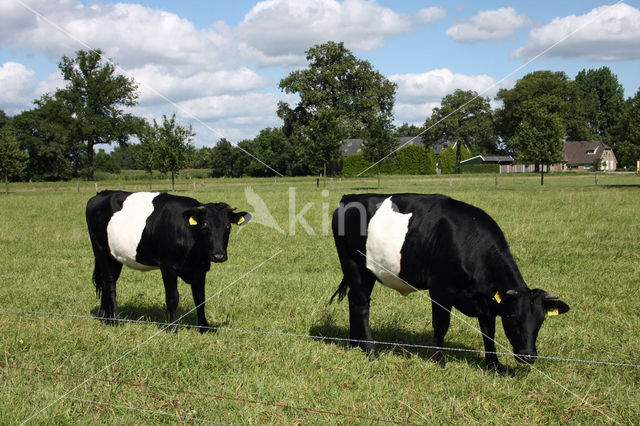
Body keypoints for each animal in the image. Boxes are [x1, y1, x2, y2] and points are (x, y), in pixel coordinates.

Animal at [86, 191, 251, 332]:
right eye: (205, 225)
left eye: (228, 226)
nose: (218, 255)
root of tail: (100, 194)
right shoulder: (168, 266)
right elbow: (172, 298)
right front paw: (172, 328)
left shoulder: (200, 268)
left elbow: (200, 298)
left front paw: (204, 327)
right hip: (100, 249)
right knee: (110, 283)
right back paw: (117, 320)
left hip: (114, 256)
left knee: (105, 282)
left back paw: (104, 317)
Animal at [332, 194, 568, 370]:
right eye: (512, 317)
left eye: (540, 321)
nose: (529, 357)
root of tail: (349, 198)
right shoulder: (440, 290)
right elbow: (441, 324)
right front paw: (439, 359)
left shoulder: (486, 302)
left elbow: (488, 331)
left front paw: (494, 364)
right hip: (352, 262)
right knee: (361, 305)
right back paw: (371, 351)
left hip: (367, 271)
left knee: (354, 300)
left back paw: (354, 344)